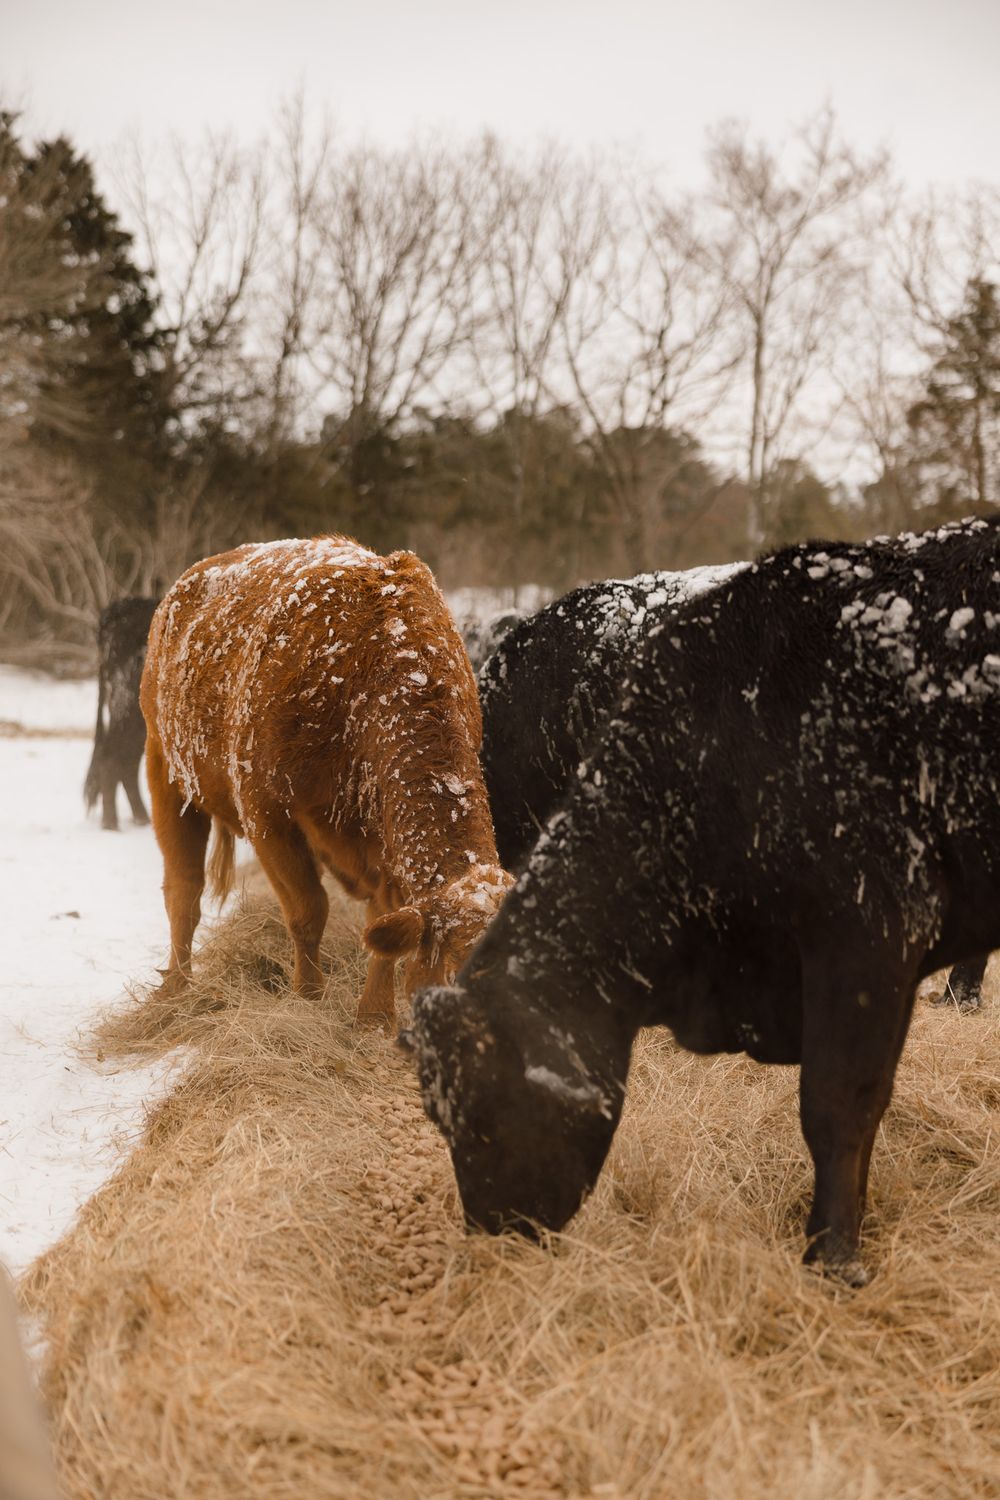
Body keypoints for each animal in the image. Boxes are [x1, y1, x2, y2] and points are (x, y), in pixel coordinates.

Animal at [140, 537, 512, 1023]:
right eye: (456, 975)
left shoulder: (380, 834)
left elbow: (383, 921)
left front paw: (374, 1015)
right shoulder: (268, 814)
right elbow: (308, 910)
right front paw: (308, 998)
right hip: (168, 775)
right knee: (184, 891)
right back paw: (177, 988)